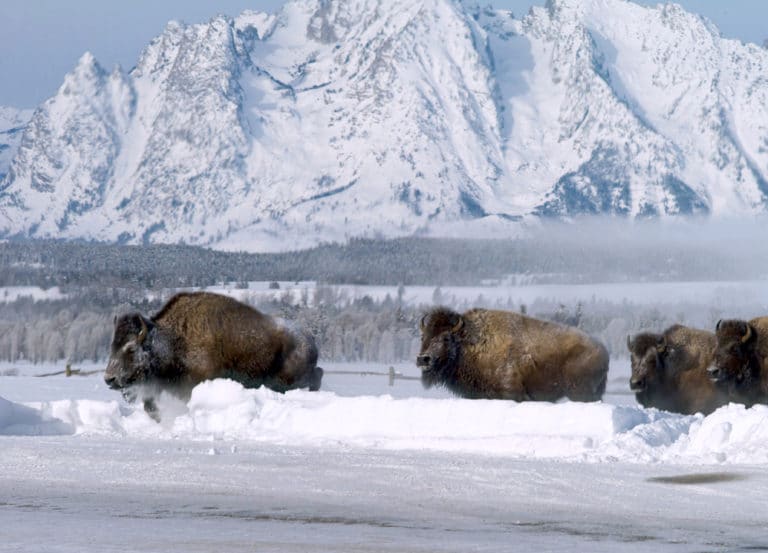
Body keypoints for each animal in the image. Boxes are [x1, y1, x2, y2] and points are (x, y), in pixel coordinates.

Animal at [104, 291, 323, 419]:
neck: (172, 339)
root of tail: (310, 340)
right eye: (112, 346)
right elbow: (150, 406)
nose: (109, 379)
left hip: (291, 380)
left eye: (131, 348)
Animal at [416, 307, 608, 402]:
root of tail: (603, 351)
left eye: (446, 338)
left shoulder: (511, 391)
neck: (469, 343)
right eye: (423, 336)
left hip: (579, 392)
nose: (423, 359)